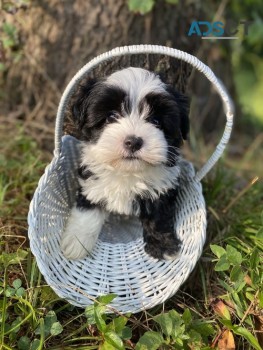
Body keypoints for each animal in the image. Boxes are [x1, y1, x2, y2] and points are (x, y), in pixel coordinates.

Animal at [61, 67, 190, 260]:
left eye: (156, 121)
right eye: (111, 116)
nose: (133, 142)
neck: (127, 171)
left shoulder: (162, 188)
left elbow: (158, 216)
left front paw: (163, 246)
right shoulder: (92, 181)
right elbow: (88, 209)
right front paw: (76, 242)